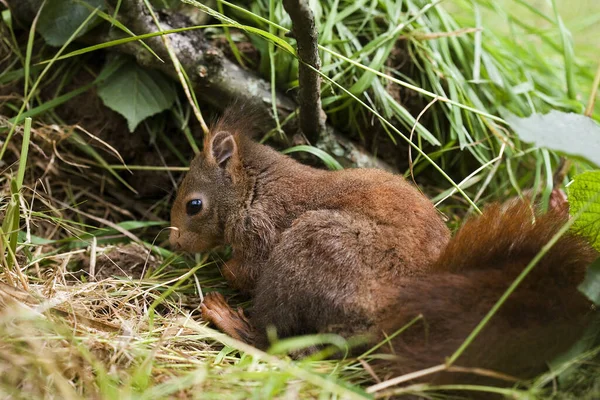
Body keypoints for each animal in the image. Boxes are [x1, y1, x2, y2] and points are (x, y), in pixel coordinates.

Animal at [170, 104, 600, 386]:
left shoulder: (262, 227)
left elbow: (248, 270)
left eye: (194, 205)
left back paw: (227, 318)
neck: (254, 187)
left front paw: (225, 270)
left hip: (308, 250)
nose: (173, 241)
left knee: (276, 340)